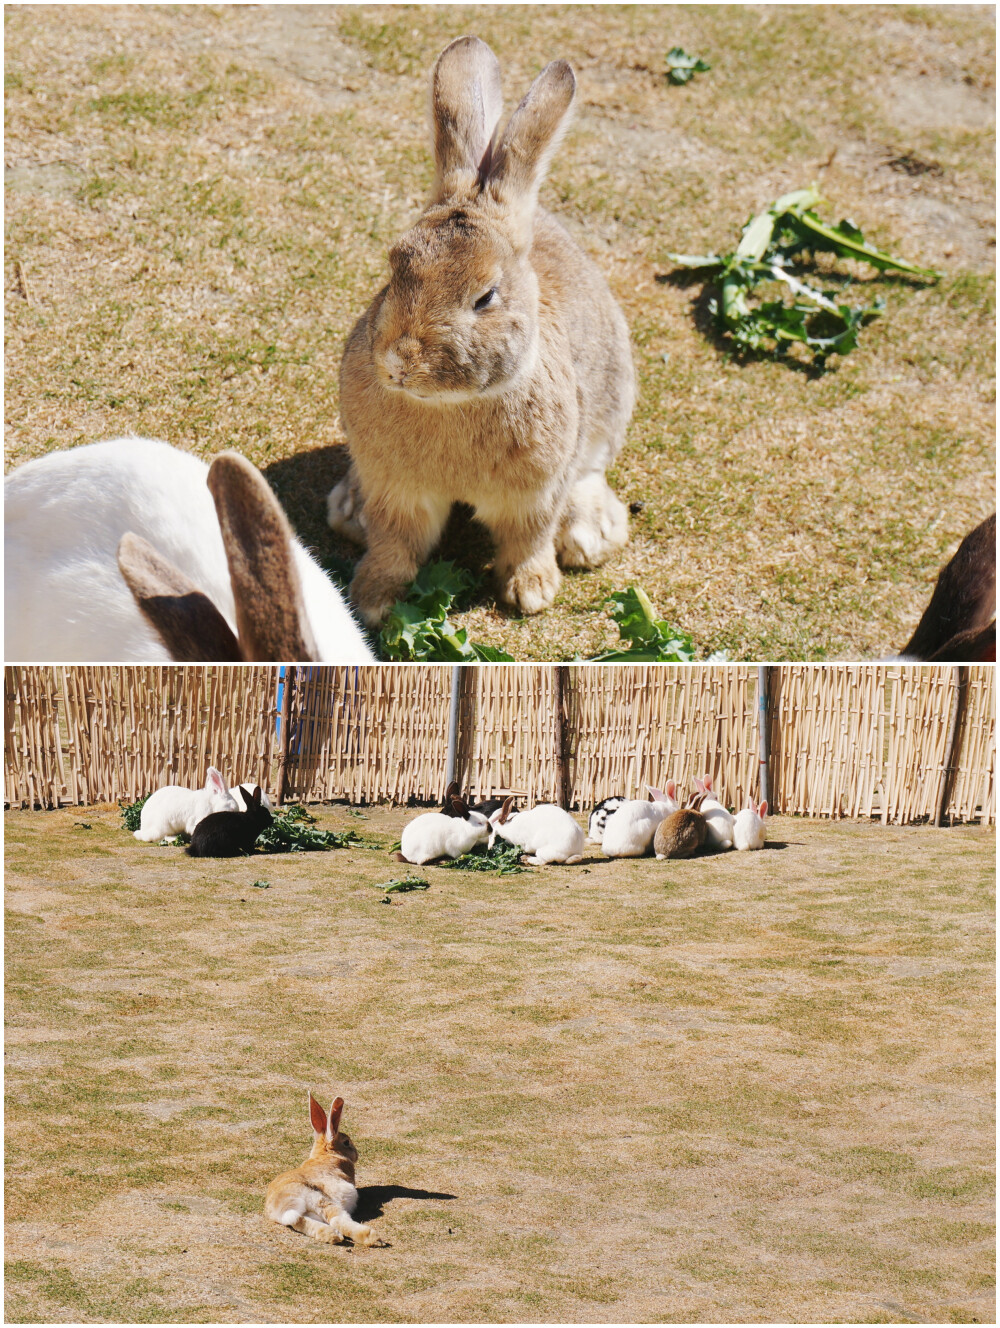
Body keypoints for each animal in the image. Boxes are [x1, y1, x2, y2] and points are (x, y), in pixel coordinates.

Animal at [262, 1088, 385, 1243]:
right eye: (346, 1142)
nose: (357, 1155)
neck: (327, 1154)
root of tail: (282, 1207)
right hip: (320, 1199)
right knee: (337, 1220)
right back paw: (372, 1238)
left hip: (307, 1212)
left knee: (301, 1222)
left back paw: (332, 1236)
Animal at [332, 35, 634, 626]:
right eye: (394, 269)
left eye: (485, 297)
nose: (397, 363)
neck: (451, 405)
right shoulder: (396, 491)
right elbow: (395, 544)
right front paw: (374, 600)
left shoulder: (535, 494)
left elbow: (528, 539)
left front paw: (532, 592)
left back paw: (590, 534)